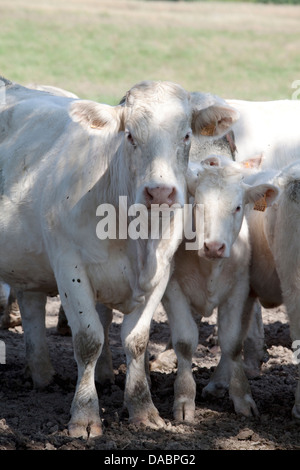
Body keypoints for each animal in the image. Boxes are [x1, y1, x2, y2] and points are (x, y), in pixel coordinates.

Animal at [0, 76, 239, 436]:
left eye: (186, 135)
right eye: (129, 136)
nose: (160, 192)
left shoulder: (160, 273)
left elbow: (136, 341)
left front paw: (143, 409)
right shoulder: (69, 265)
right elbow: (88, 339)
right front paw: (84, 415)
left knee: (32, 303)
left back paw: (40, 373)